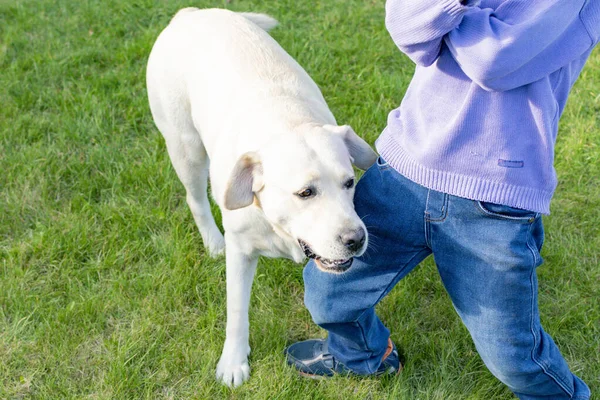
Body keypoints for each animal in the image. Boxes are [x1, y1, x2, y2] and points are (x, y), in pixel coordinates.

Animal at [146, 7, 376, 388]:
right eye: (305, 193)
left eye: (349, 183)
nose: (355, 239)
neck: (287, 123)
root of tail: (192, 13)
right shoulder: (240, 251)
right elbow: (237, 310)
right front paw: (233, 362)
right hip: (185, 148)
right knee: (195, 198)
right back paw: (212, 242)